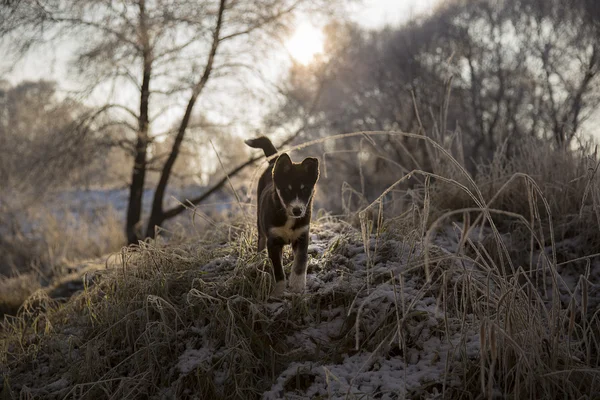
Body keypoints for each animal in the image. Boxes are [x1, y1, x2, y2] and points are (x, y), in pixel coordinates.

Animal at [244, 138, 318, 296]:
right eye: (286, 190)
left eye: (305, 190)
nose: (297, 211)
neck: (288, 217)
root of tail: (273, 162)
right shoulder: (273, 241)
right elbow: (278, 269)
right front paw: (278, 291)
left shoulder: (302, 236)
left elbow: (300, 263)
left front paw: (297, 286)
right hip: (260, 222)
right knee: (260, 240)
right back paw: (259, 260)